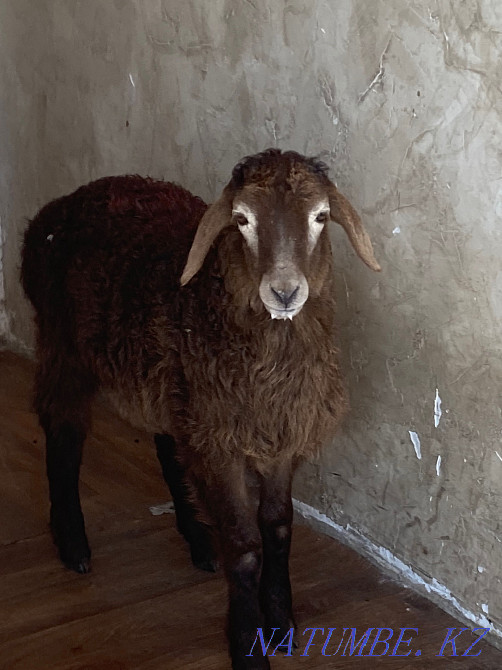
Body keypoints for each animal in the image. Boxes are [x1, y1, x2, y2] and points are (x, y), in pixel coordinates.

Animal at [21, 149, 380, 670]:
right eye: (242, 220)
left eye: (320, 216)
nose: (284, 292)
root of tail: (59, 207)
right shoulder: (221, 439)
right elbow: (245, 545)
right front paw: (248, 646)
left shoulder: (275, 434)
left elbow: (278, 528)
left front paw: (281, 623)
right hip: (63, 345)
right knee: (63, 435)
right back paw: (73, 543)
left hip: (167, 384)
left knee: (168, 450)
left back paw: (195, 538)